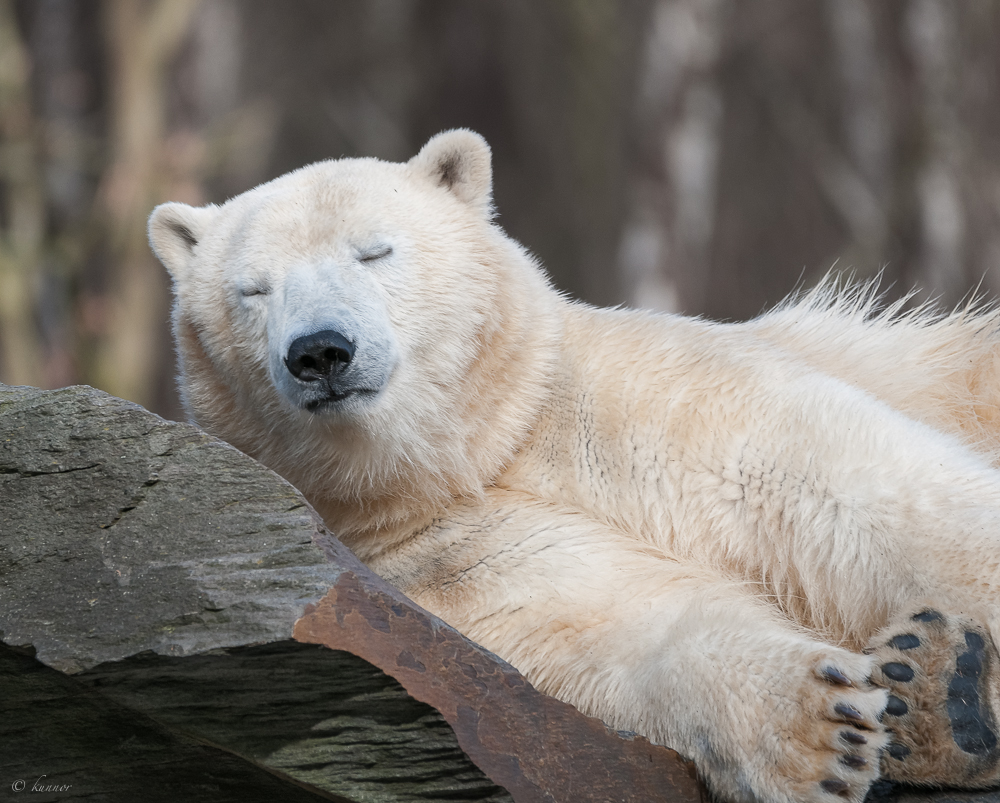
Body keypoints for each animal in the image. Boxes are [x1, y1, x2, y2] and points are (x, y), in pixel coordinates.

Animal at [148, 132, 1000, 803]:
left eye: (375, 250)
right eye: (252, 290)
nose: (321, 350)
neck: (486, 447)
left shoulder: (653, 400)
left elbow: (868, 497)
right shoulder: (434, 549)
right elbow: (607, 616)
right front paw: (823, 728)